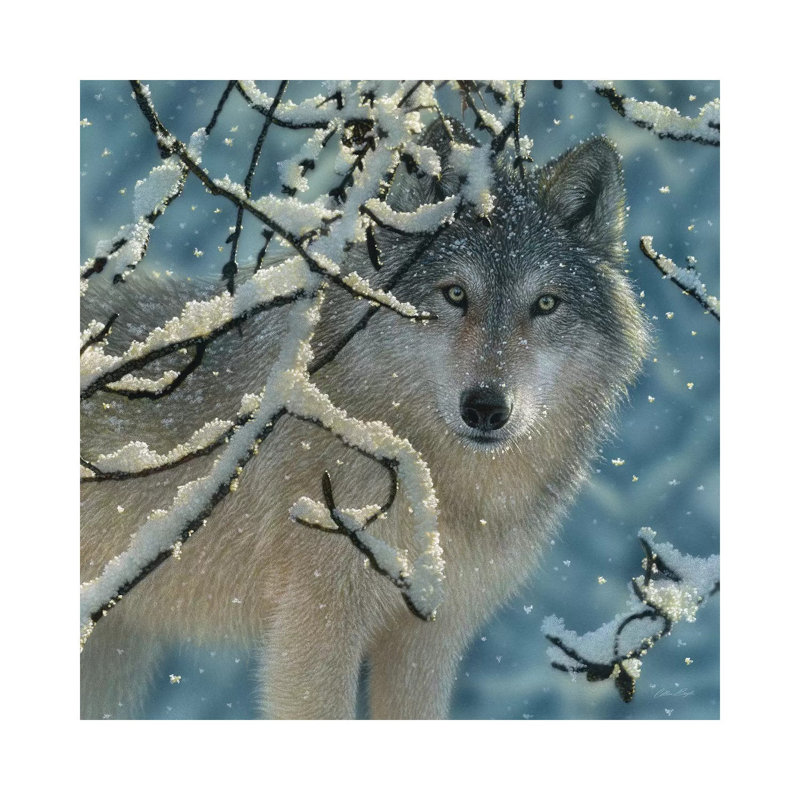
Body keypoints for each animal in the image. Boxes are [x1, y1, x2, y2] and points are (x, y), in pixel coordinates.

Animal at [80, 119, 649, 719]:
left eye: (544, 304)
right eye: (455, 293)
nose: (486, 407)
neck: (439, 486)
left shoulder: (430, 637)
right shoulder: (317, 619)